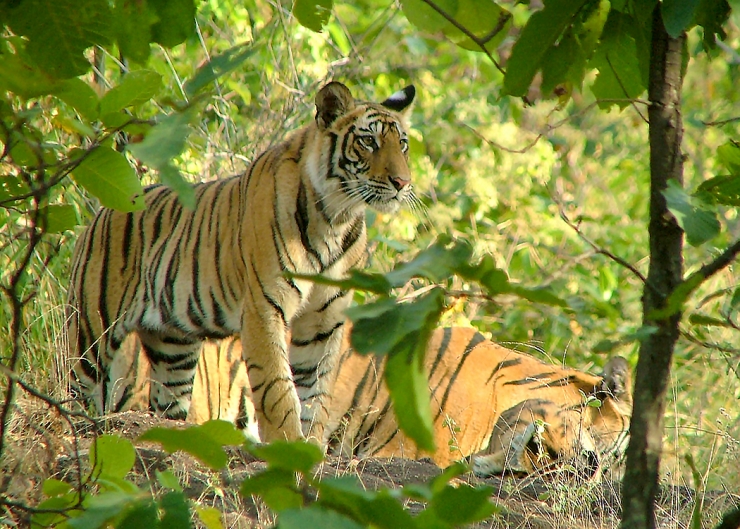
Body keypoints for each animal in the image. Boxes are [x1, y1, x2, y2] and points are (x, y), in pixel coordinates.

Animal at [65, 81, 416, 446]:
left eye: (402, 144)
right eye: (368, 141)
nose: (403, 183)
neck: (337, 217)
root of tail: (103, 211)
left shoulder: (324, 320)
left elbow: (315, 393)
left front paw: (311, 449)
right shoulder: (265, 306)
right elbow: (277, 388)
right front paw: (286, 445)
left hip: (172, 350)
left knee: (167, 402)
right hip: (91, 333)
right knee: (76, 388)